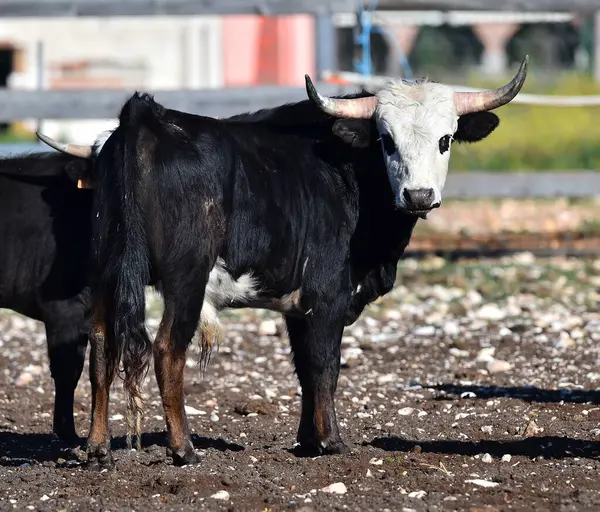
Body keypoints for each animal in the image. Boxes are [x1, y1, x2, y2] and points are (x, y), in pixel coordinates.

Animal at [35, 56, 528, 468]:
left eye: (446, 140)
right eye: (387, 140)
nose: (419, 195)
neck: (349, 172)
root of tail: (146, 120)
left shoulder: (298, 304)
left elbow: (304, 368)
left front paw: (307, 440)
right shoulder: (328, 295)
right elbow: (325, 364)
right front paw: (331, 441)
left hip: (107, 272)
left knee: (102, 348)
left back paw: (97, 448)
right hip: (185, 278)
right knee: (166, 350)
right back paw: (183, 448)